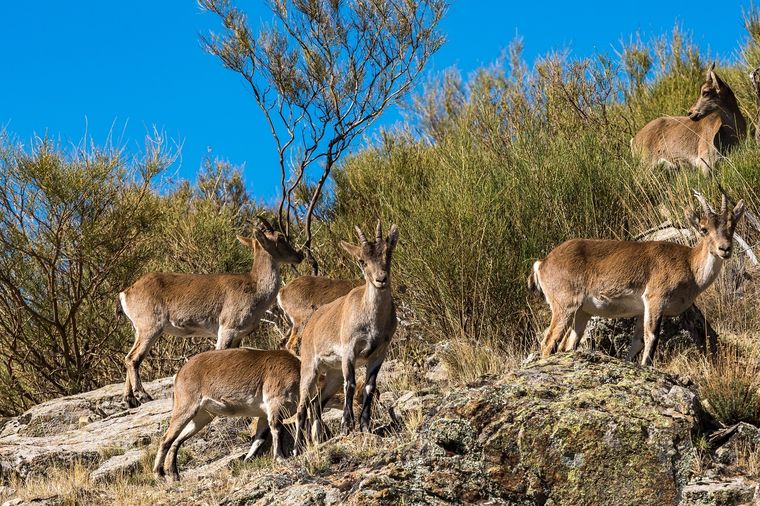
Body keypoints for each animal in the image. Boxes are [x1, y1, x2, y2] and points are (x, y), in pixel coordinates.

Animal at [117, 217, 303, 406]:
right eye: (281, 238)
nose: (299, 255)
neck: (255, 288)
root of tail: (126, 292)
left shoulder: (238, 336)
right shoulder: (227, 329)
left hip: (138, 330)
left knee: (129, 356)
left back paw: (128, 400)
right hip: (150, 327)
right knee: (132, 358)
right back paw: (143, 395)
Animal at [529, 193, 745, 365]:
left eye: (732, 225)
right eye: (704, 229)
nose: (724, 249)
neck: (689, 264)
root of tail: (543, 263)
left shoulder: (642, 310)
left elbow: (638, 341)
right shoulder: (656, 298)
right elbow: (652, 336)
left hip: (582, 312)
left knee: (567, 344)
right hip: (564, 305)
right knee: (548, 341)